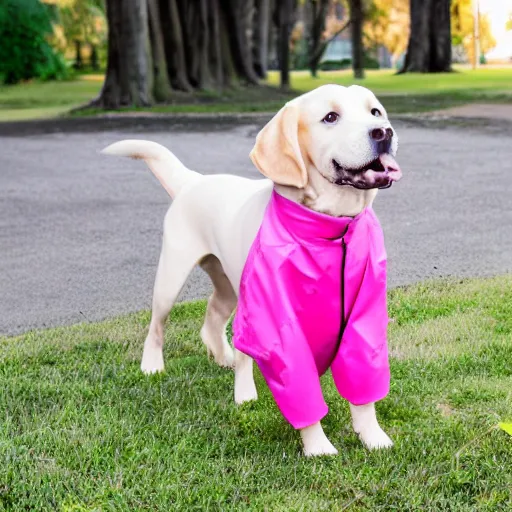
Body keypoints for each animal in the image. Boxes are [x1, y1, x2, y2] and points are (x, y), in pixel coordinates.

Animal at [103, 84, 400, 456]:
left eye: (375, 112)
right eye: (330, 117)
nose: (384, 133)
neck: (332, 229)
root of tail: (192, 181)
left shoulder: (364, 315)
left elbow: (363, 385)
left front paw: (372, 436)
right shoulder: (278, 320)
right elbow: (301, 389)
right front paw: (318, 446)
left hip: (231, 287)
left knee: (214, 324)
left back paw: (230, 369)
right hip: (172, 277)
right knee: (157, 327)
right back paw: (154, 367)